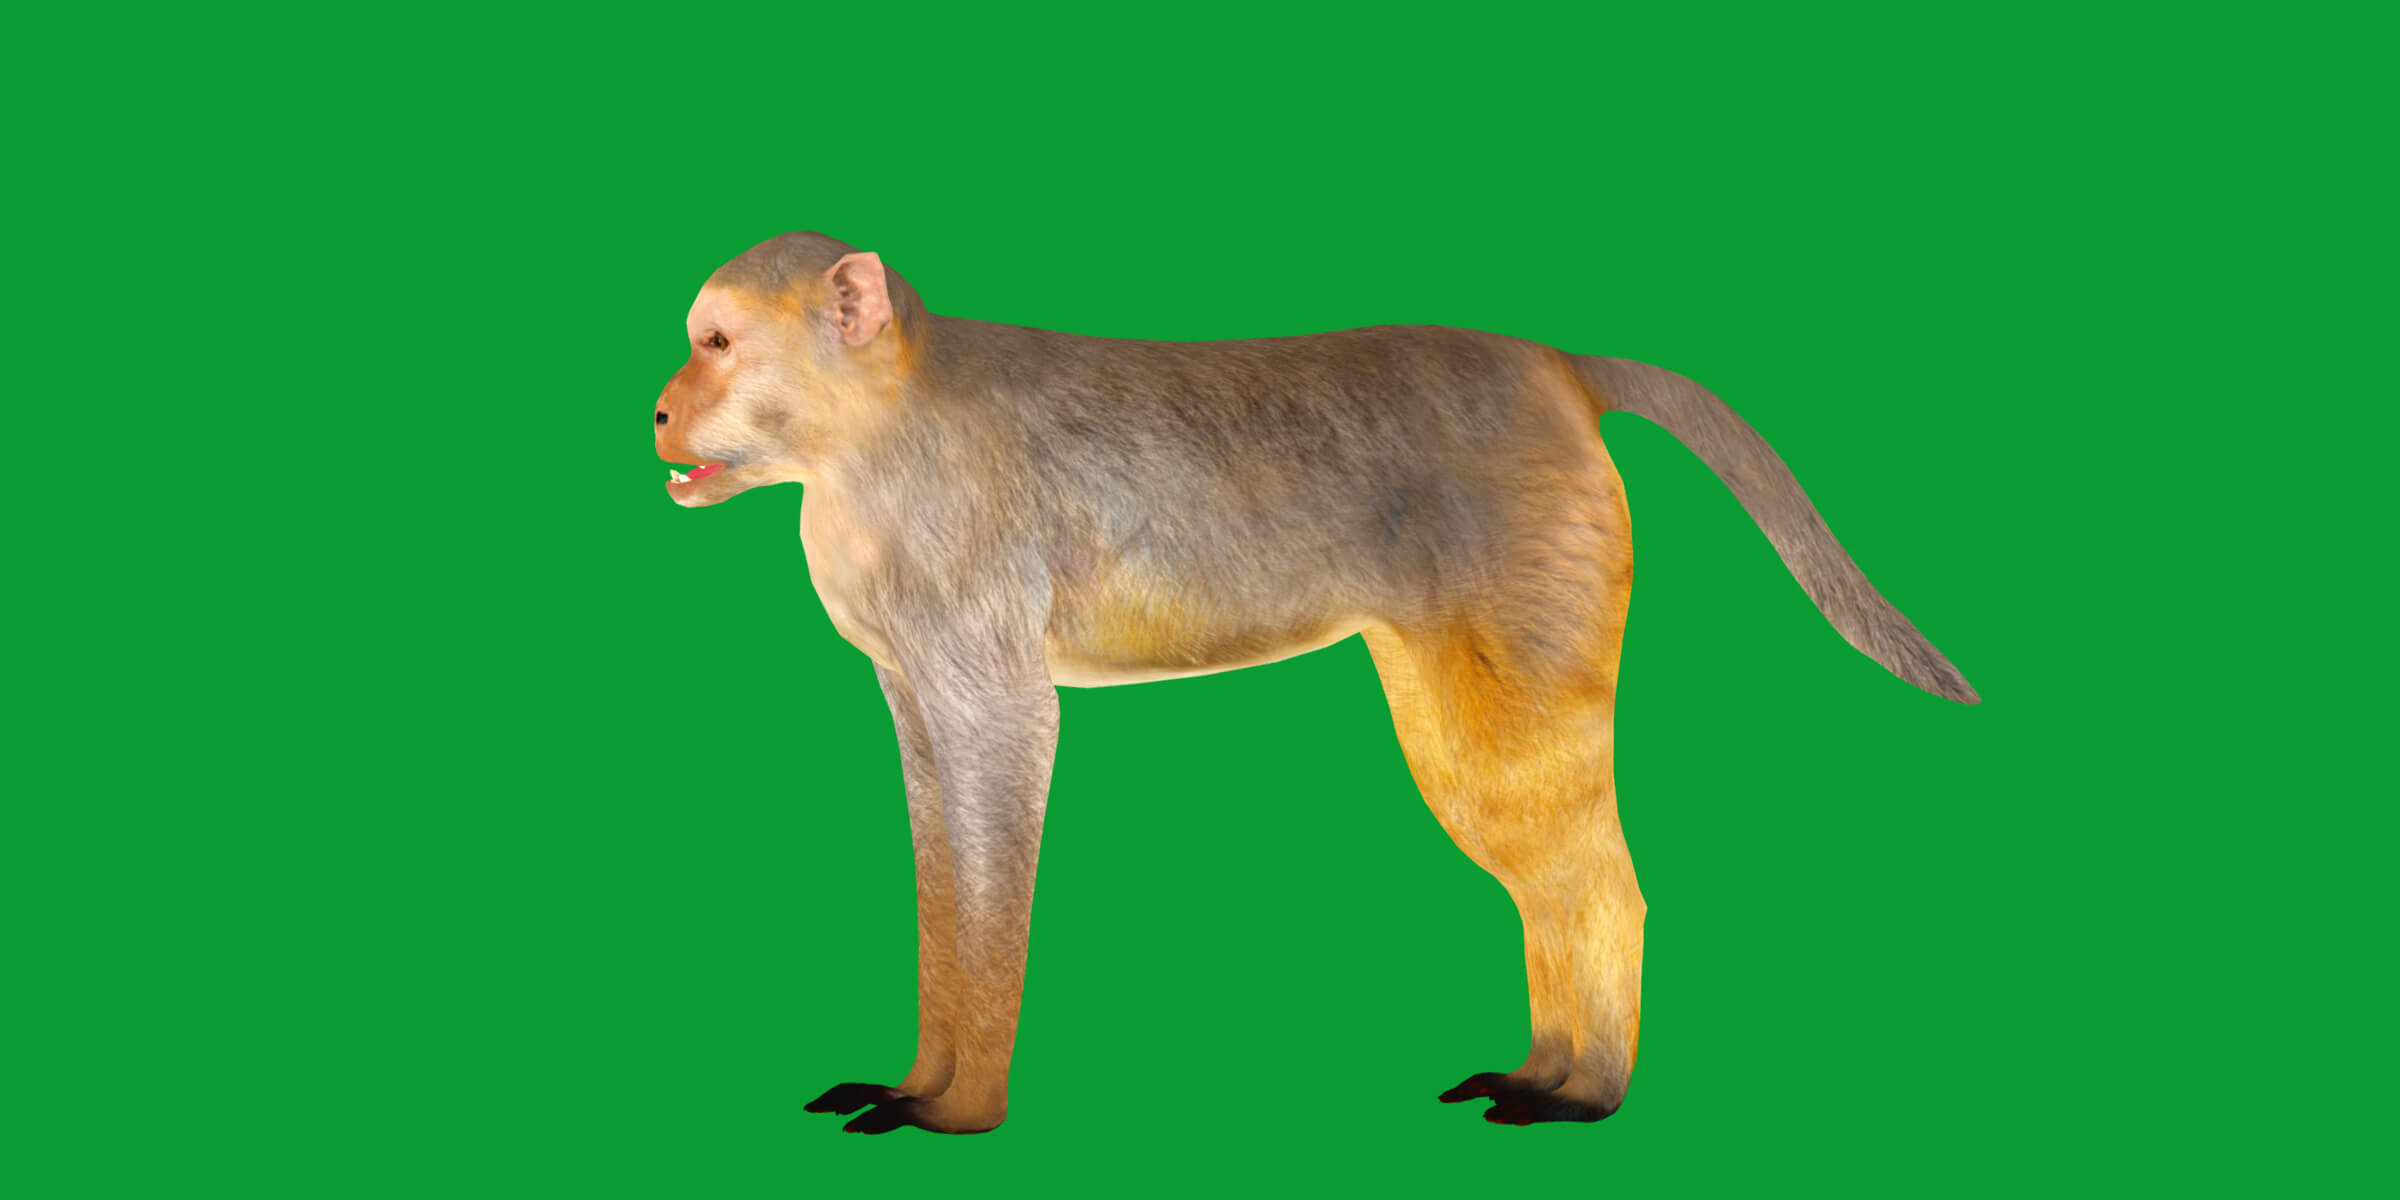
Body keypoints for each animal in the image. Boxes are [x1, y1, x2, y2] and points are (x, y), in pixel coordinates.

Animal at [651, 231, 1977, 1135]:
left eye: (717, 343)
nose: (660, 409)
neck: (869, 434)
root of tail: (1552, 365)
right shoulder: (909, 649)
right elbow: (936, 828)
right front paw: (920, 1073)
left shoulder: (967, 592)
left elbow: (1005, 765)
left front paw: (958, 1105)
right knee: (1518, 825)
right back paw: (1551, 1063)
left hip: (1534, 558)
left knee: (1570, 843)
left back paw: (1585, 1088)